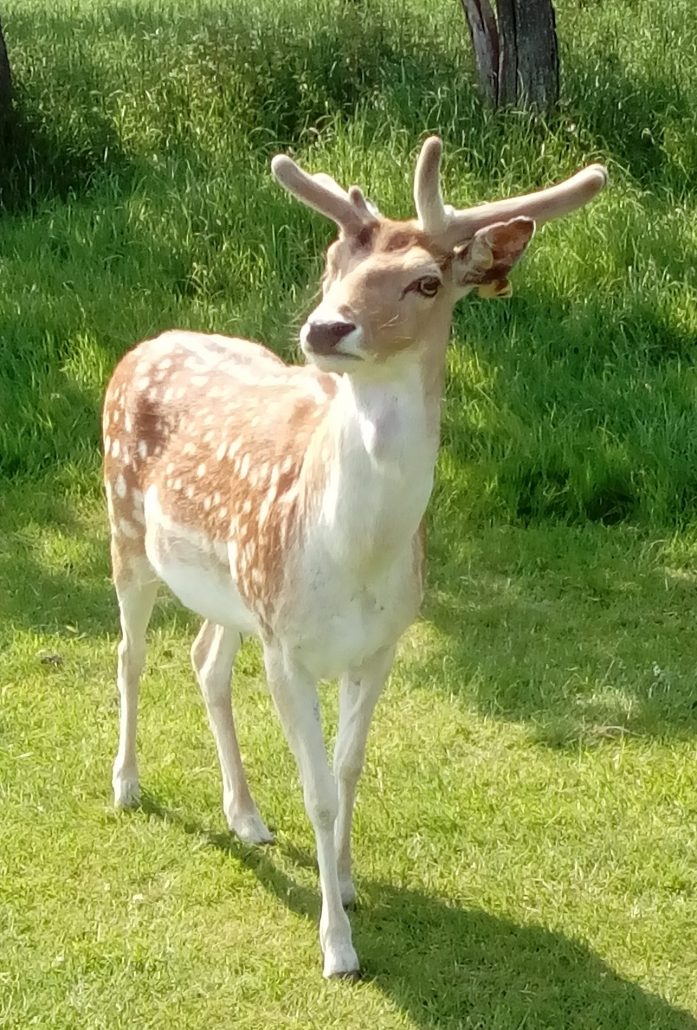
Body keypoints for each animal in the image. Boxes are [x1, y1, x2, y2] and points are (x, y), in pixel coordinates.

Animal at [101, 139, 605, 980]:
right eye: (331, 261)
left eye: (427, 280)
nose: (326, 328)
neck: (356, 558)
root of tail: (144, 344)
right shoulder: (287, 648)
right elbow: (318, 792)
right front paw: (336, 947)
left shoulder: (380, 643)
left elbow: (348, 769)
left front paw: (345, 881)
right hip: (125, 530)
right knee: (132, 655)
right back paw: (127, 785)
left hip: (232, 590)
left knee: (204, 660)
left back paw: (246, 818)